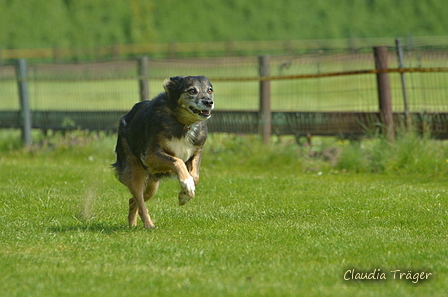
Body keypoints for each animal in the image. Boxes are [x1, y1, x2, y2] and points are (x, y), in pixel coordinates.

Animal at [114, 75, 215, 228]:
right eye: (192, 91)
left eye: (209, 90)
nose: (209, 102)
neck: (182, 123)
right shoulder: (150, 155)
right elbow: (178, 162)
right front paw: (187, 185)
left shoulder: (197, 150)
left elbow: (195, 176)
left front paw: (185, 195)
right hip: (136, 171)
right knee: (140, 200)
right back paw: (149, 225)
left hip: (152, 185)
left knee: (133, 200)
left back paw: (132, 224)